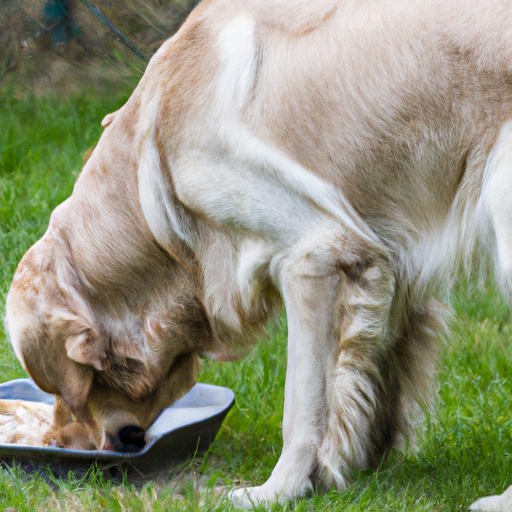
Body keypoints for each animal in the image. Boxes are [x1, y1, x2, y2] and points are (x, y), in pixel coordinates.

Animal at [4, 0, 512, 506]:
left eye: (67, 388)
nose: (61, 445)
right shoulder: (387, 264)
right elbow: (368, 379)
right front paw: (360, 466)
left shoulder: (314, 254)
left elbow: (304, 405)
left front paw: (277, 490)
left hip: (500, 204)